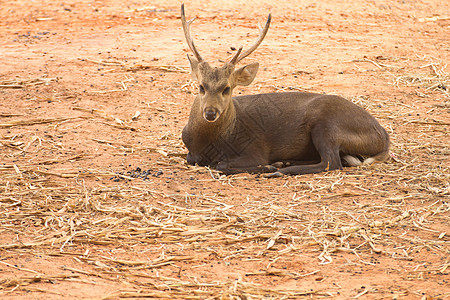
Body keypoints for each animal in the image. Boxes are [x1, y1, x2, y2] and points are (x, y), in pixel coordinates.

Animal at [179, 3, 390, 177]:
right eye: (201, 87)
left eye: (227, 88)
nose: (210, 113)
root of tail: (384, 136)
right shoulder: (192, 152)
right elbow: (193, 159)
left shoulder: (255, 148)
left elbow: (222, 165)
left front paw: (268, 166)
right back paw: (285, 163)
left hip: (328, 126)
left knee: (332, 162)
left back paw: (281, 169)